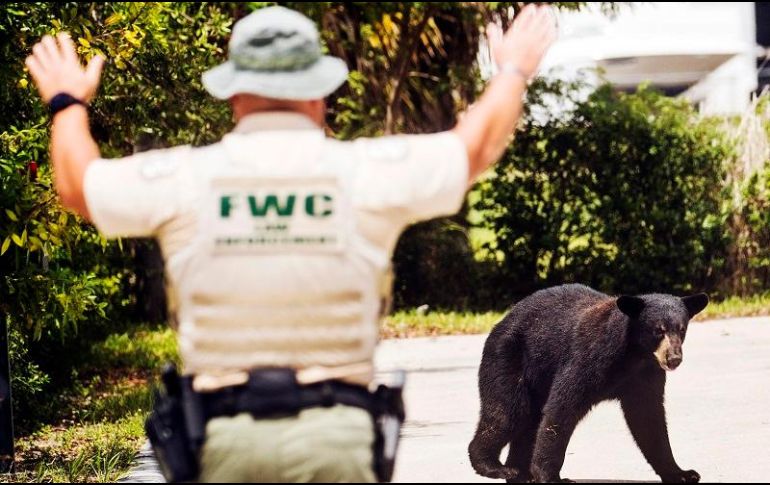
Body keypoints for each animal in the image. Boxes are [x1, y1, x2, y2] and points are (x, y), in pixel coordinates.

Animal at [468, 284, 709, 483]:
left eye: (682, 329)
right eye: (658, 330)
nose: (673, 358)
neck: (633, 355)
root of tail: (502, 320)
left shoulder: (645, 375)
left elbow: (648, 418)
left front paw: (683, 473)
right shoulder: (588, 357)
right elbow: (562, 407)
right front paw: (551, 477)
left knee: (529, 422)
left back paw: (520, 473)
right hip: (508, 358)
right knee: (508, 413)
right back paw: (495, 467)